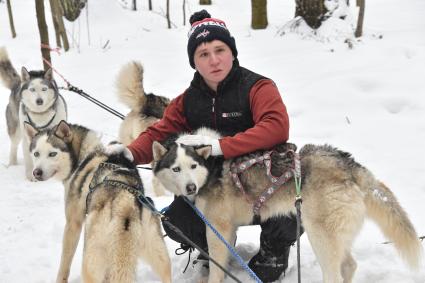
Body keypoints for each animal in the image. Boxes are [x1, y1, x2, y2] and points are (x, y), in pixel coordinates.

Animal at [0, 46, 67, 180]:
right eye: (32, 90)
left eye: (44, 89)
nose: (39, 101)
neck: (41, 116)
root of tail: (18, 84)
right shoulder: (28, 139)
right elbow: (30, 159)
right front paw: (31, 177)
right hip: (16, 130)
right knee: (13, 146)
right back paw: (12, 164)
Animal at [24, 121, 171, 283]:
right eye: (36, 153)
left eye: (52, 154)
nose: (36, 172)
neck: (84, 154)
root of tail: (124, 203)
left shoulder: (73, 223)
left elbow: (64, 263)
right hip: (158, 254)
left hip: (91, 259)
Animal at [152, 129, 420, 283]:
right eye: (176, 169)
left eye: (192, 166)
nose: (190, 188)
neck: (211, 168)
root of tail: (349, 164)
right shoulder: (226, 228)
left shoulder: (217, 227)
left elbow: (217, 268)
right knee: (349, 266)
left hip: (320, 235)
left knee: (335, 273)